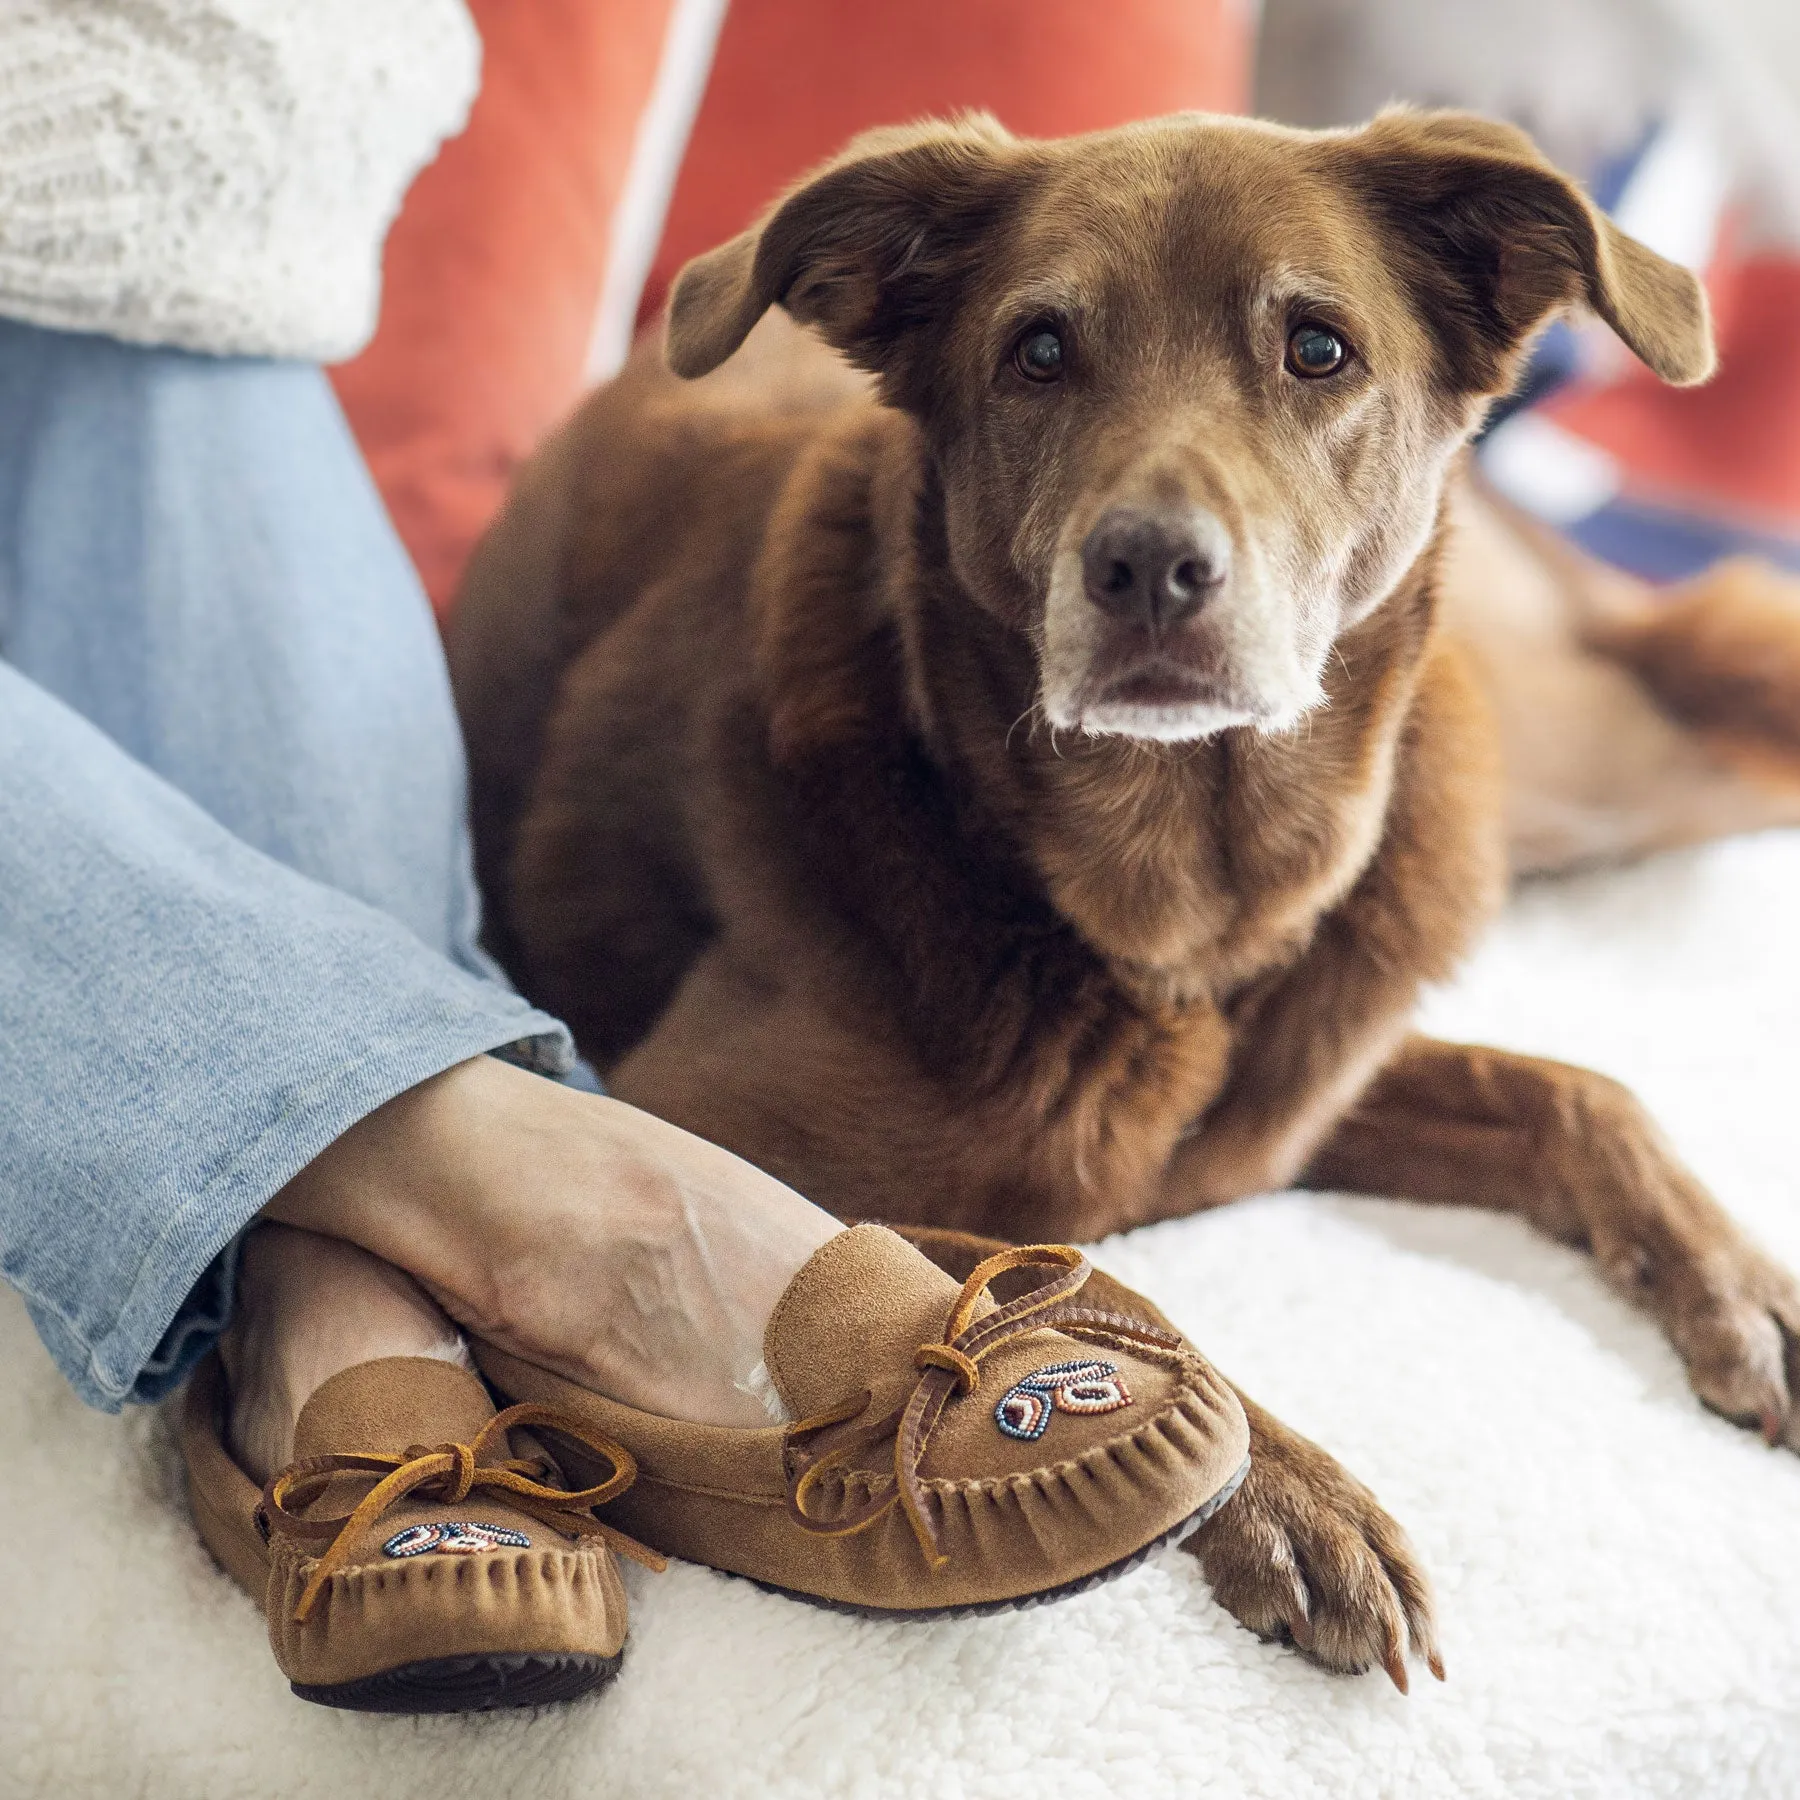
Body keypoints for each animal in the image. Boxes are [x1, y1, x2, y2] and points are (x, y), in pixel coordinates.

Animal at [446, 112, 1800, 1684]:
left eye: (1319, 348)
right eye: (1037, 352)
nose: (1148, 566)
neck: (1183, 926)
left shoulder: (1289, 1090)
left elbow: (1571, 1088)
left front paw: (1745, 1287)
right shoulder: (660, 1124)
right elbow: (1059, 1272)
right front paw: (1285, 1491)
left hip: (1593, 753)